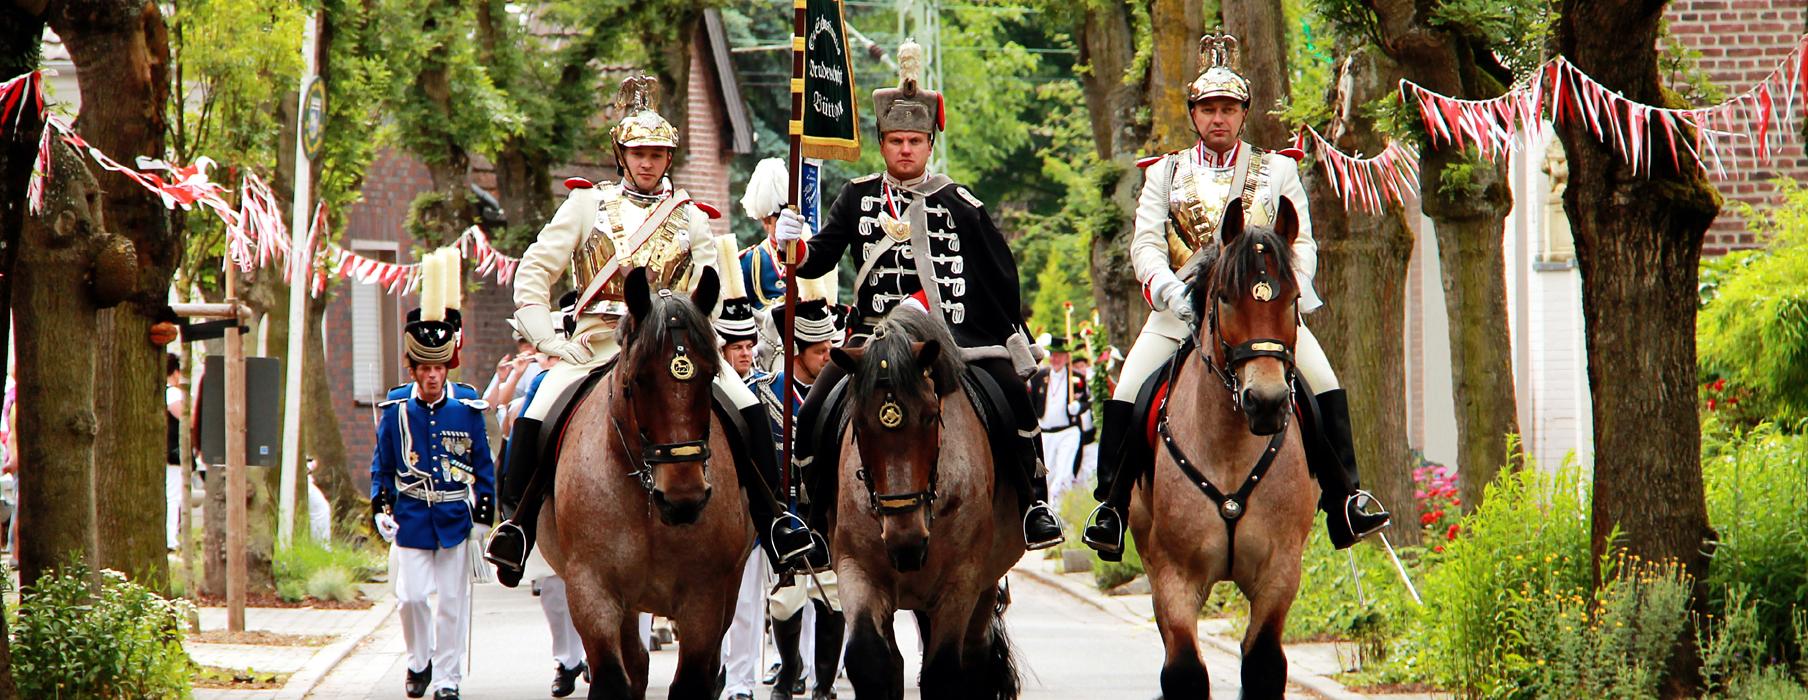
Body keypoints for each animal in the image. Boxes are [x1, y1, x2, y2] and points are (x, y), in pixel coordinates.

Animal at [542, 267, 755, 700]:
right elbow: (612, 678)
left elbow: (693, 680)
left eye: (711, 375)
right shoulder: (591, 588)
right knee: (636, 664)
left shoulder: (705, 595)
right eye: (639, 378)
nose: (683, 499)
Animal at [824, 312, 1026, 700]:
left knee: (975, 655)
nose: (906, 542)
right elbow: (870, 661)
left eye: (931, 416)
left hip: (982, 586)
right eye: (859, 422)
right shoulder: (857, 569)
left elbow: (944, 671)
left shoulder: (961, 580)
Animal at [1128, 199, 1316, 698]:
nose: (1266, 402)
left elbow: (1263, 663)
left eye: (1293, 299)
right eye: (1227, 297)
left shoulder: (1279, 572)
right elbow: (1184, 670)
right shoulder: (1174, 575)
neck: (1231, 447)